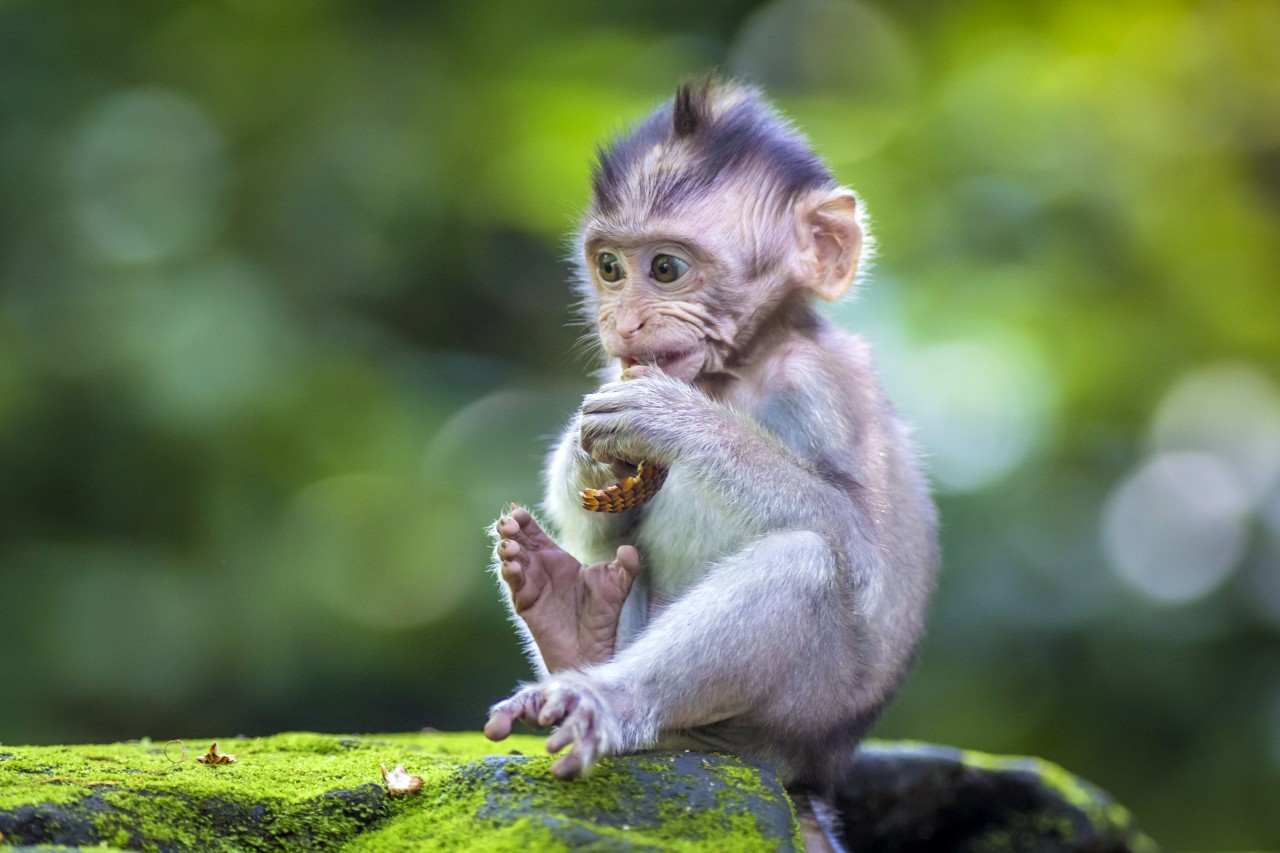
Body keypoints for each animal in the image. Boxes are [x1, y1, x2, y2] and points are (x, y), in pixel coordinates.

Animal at [483, 76, 936, 799]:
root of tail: (812, 765)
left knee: (803, 563)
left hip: (802, 712)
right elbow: (606, 522)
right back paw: (569, 620)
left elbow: (863, 557)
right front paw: (591, 455)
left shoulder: (822, 386)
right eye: (610, 267)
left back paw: (607, 695)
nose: (624, 323)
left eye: (666, 269)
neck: (736, 370)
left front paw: (674, 419)